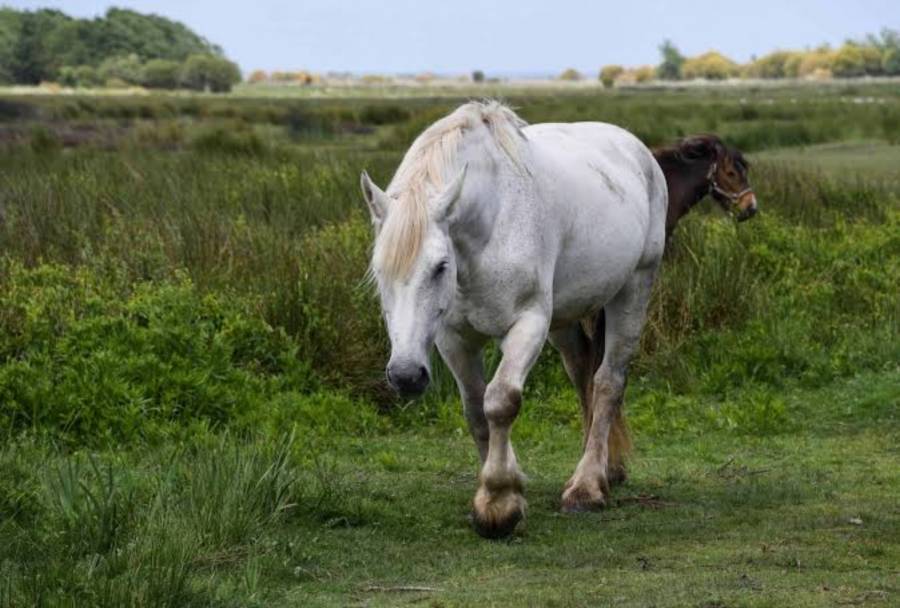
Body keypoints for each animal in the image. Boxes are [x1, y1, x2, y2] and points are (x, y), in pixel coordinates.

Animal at [360, 101, 667, 538]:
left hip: (634, 289)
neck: (490, 225)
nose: (405, 376)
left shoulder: (528, 324)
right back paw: (605, 468)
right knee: (583, 376)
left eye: (440, 266)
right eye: (379, 270)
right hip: (565, 320)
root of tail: (637, 149)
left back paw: (587, 487)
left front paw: (499, 503)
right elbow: (476, 410)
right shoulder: (454, 338)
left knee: (608, 383)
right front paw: (499, 490)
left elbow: (501, 401)